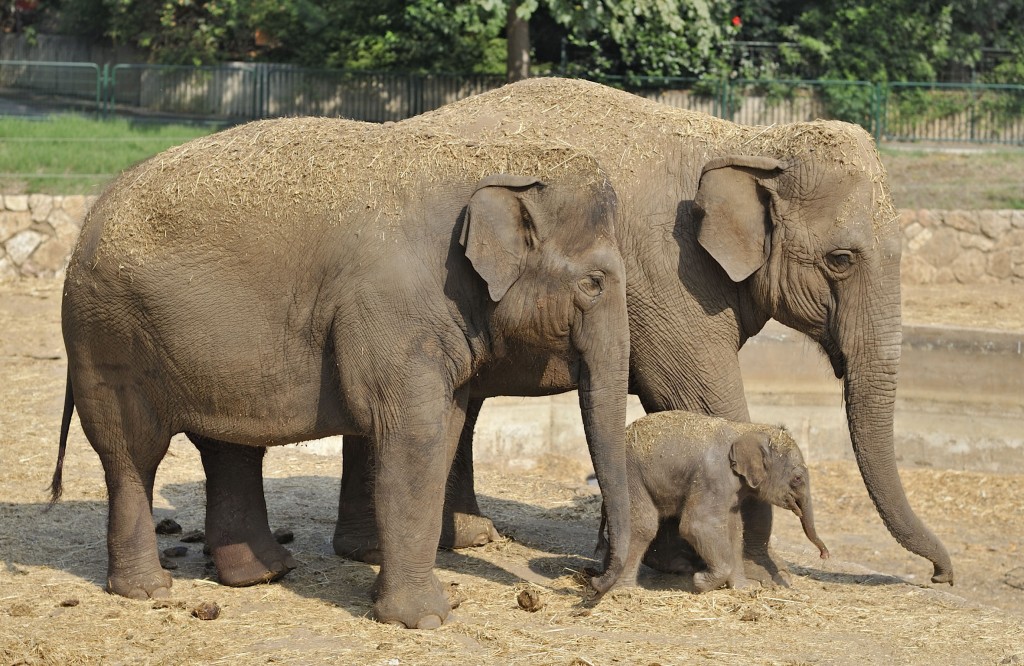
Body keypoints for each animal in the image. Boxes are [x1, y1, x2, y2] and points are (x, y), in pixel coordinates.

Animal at [56, 117, 634, 627]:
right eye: (595, 283)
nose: (589, 582)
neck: (494, 157)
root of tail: (85, 223)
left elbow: (444, 428)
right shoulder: (393, 305)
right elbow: (414, 435)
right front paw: (426, 619)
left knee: (228, 447)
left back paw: (263, 574)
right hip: (108, 337)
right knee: (132, 453)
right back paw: (148, 590)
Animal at [598, 409, 831, 590]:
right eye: (797, 478)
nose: (824, 555)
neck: (746, 429)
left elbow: (733, 530)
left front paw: (744, 589)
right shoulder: (713, 476)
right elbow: (697, 525)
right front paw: (700, 582)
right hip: (629, 476)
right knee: (643, 525)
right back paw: (624, 590)